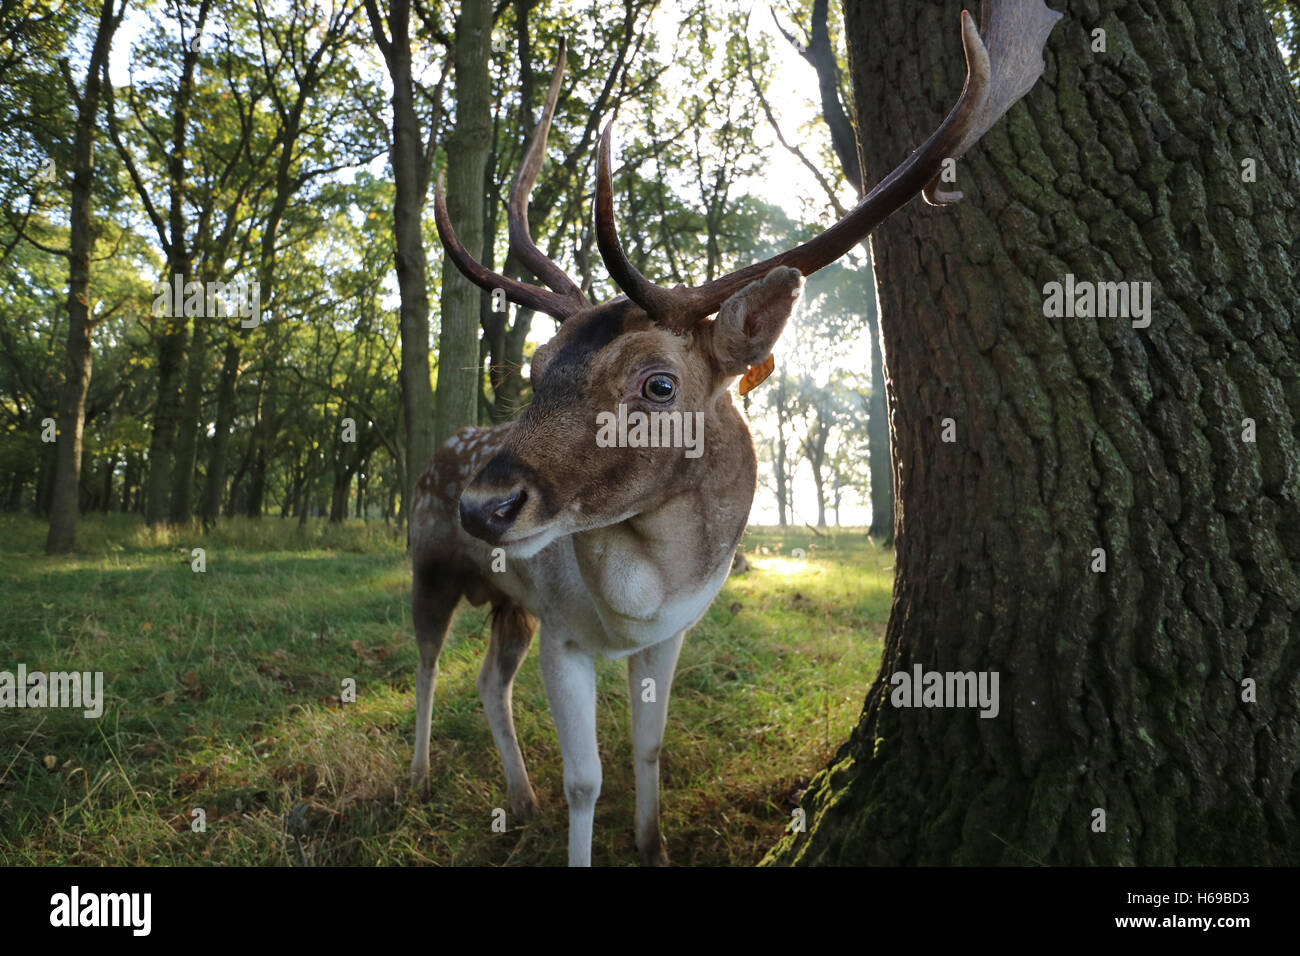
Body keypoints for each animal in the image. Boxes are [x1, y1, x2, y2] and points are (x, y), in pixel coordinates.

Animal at [410, 1, 1060, 868]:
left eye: (658, 384)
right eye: (538, 365)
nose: (484, 506)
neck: (639, 603)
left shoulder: (668, 636)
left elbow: (649, 747)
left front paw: (652, 848)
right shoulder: (566, 635)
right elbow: (587, 781)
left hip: (510, 604)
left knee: (488, 678)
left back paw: (520, 799)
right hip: (429, 563)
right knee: (427, 664)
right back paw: (416, 775)